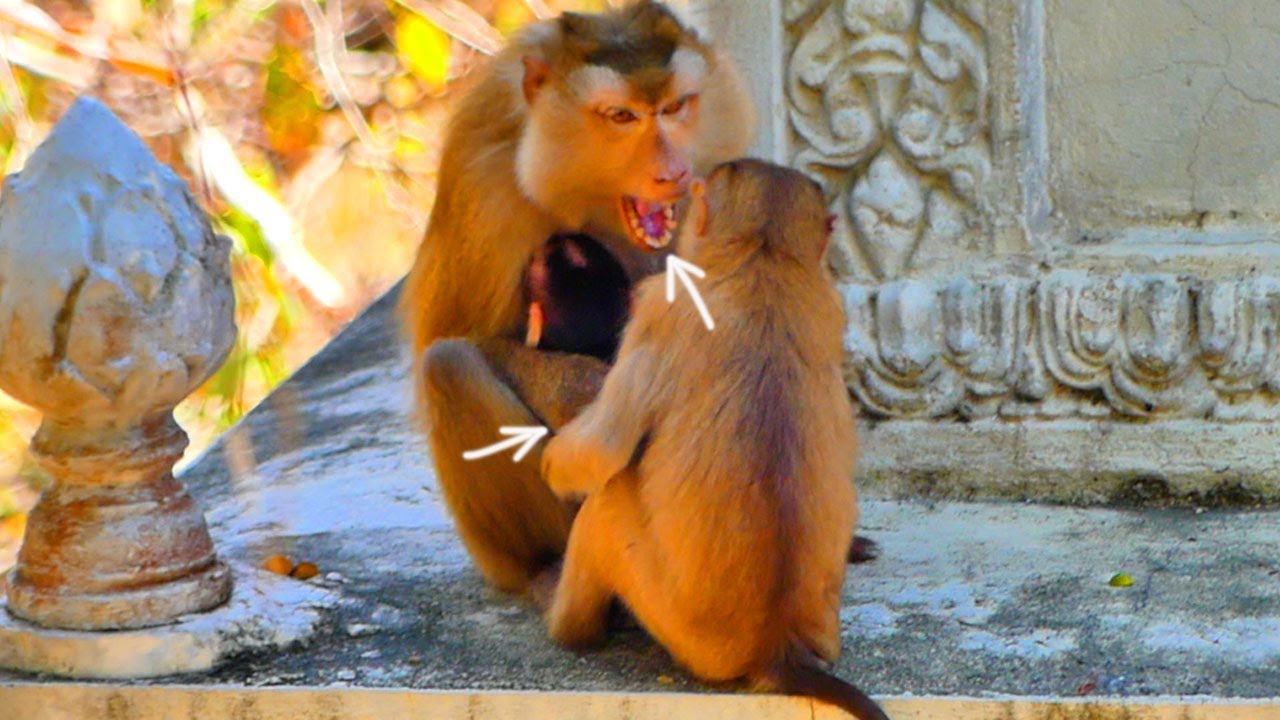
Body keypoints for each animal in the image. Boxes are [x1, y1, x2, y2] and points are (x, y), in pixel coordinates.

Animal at [538, 159, 889, 720]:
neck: (763, 254)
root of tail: (779, 647)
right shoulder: (828, 298)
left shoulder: (657, 304)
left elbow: (602, 452)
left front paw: (551, 462)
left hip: (679, 625)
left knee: (609, 500)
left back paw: (568, 628)